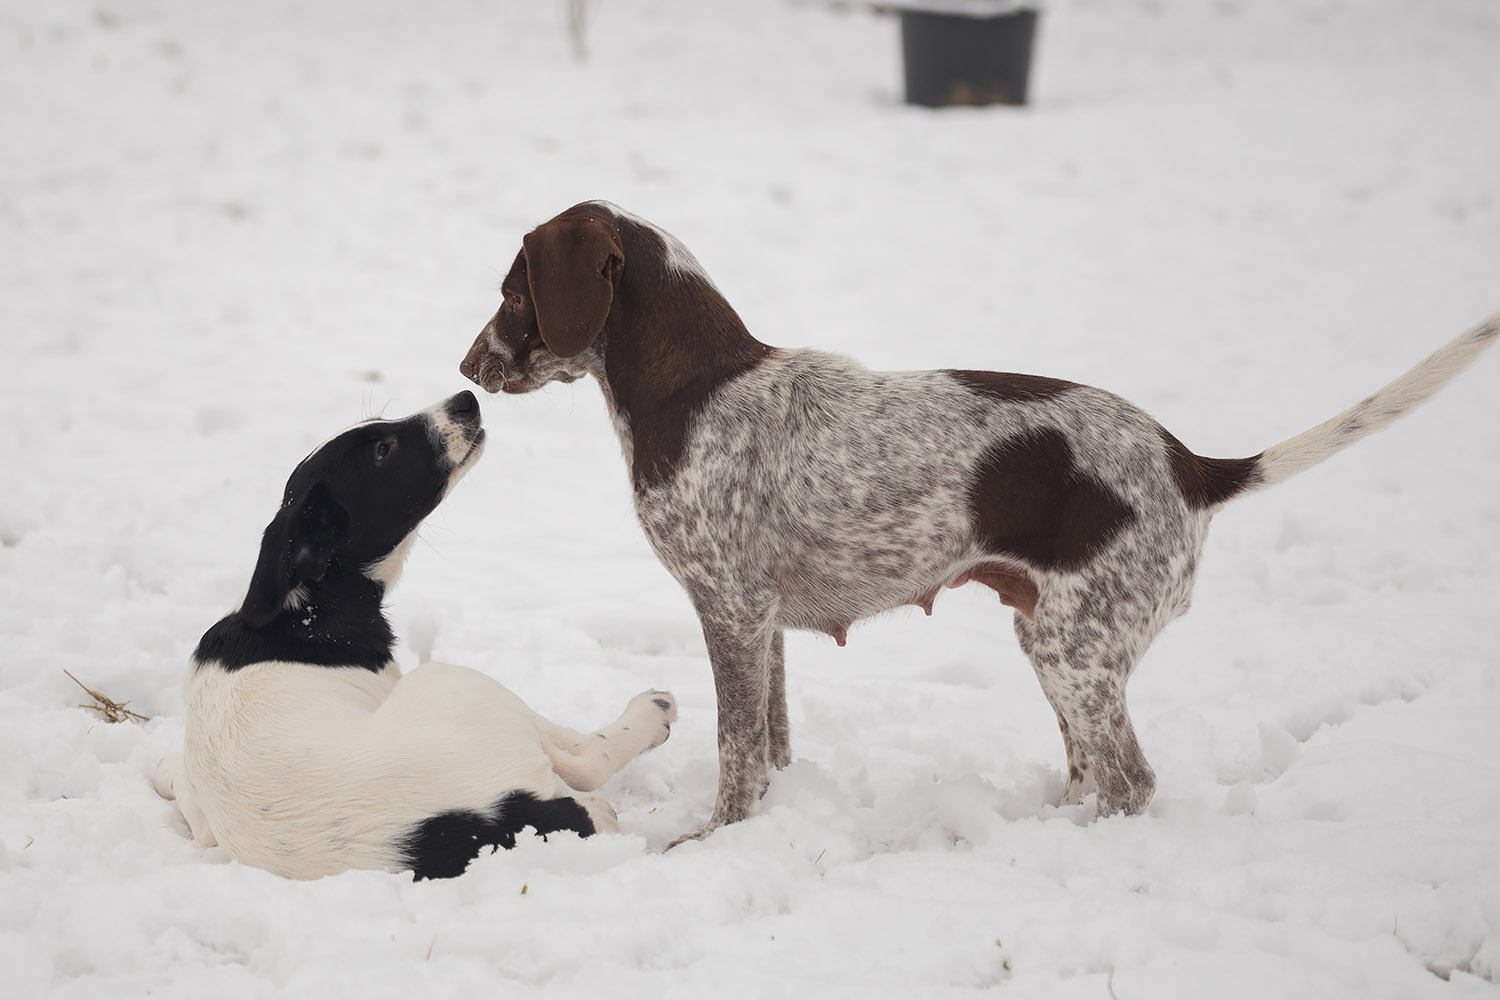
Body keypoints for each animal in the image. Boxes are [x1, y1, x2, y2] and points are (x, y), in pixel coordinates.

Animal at [149, 389, 678, 875]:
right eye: (383, 451)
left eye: (379, 427)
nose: (465, 398)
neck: (308, 607)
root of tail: (503, 818)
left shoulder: (204, 818)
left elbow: (182, 786)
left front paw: (164, 771)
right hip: (456, 683)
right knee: (585, 763)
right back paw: (651, 713)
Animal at [459, 203, 1500, 845]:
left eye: (514, 291)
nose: (468, 367)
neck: (695, 385)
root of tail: (1189, 463)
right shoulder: (760, 621)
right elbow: (773, 742)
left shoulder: (727, 608)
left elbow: (735, 755)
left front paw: (713, 841)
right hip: (1055, 638)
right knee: (1091, 769)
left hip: (1074, 648)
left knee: (1130, 782)